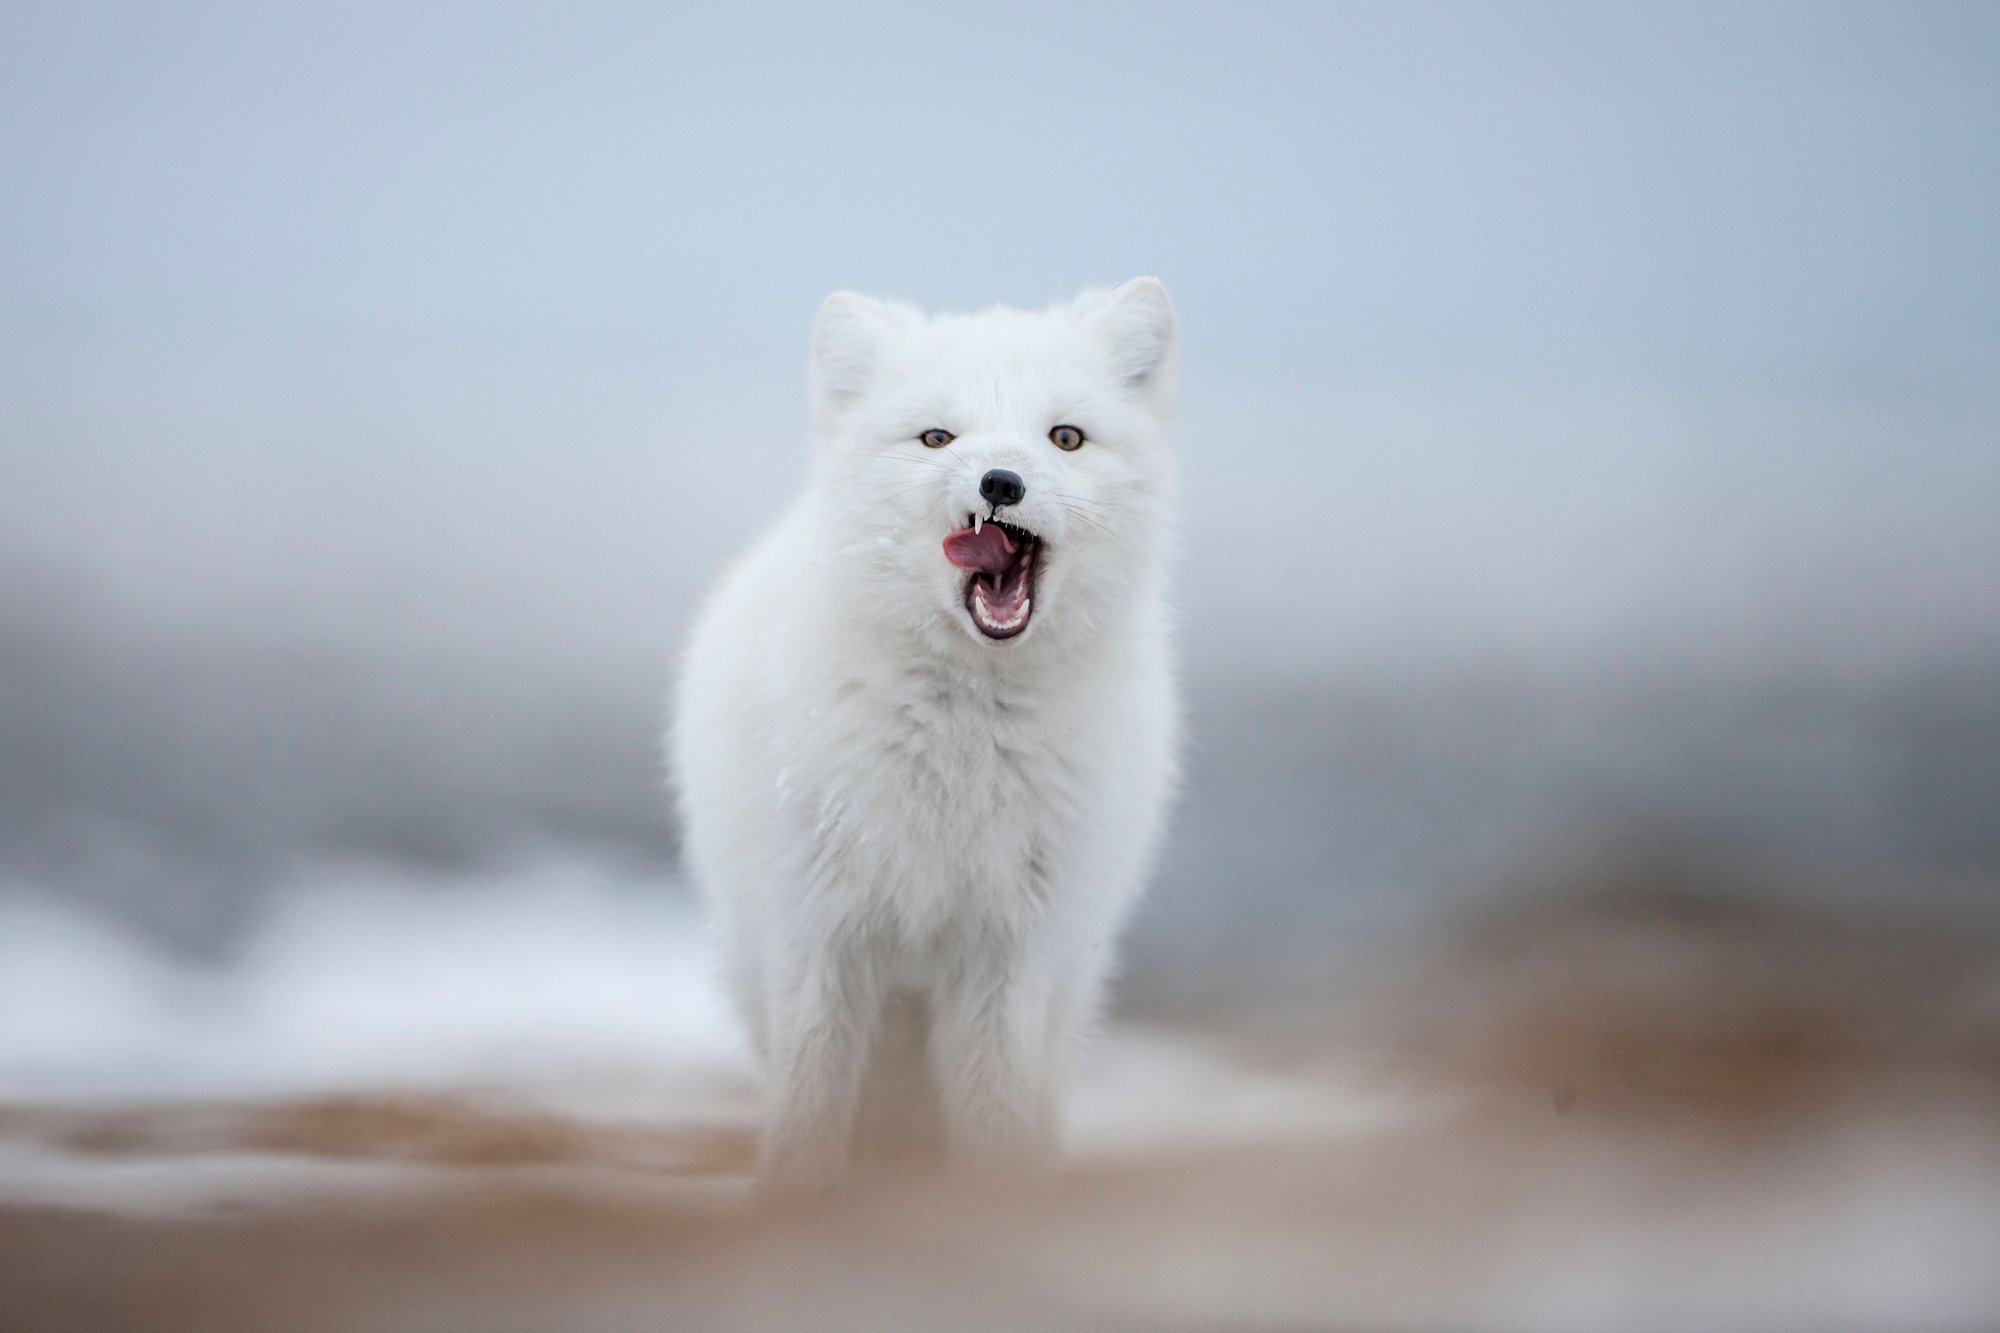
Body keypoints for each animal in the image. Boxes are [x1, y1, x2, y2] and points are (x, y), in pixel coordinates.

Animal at [676, 280, 1168, 1192]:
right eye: (938, 436)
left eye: (1065, 436)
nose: (1001, 480)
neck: (959, 748)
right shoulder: (820, 927)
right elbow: (810, 1097)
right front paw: (789, 1202)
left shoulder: (1010, 948)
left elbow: (994, 1110)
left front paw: (996, 1201)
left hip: (1066, 973)